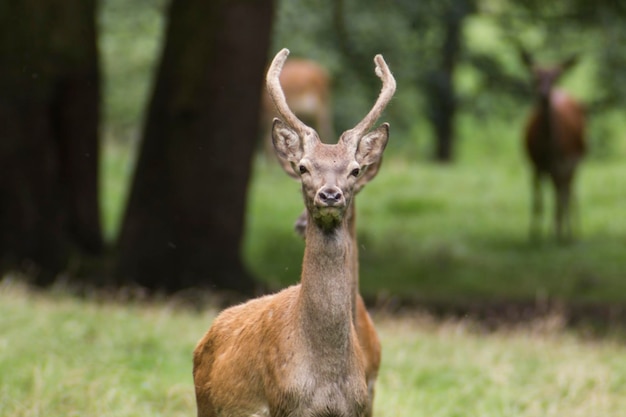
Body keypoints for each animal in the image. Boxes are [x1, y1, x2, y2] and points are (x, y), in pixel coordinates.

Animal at [191, 49, 394, 416]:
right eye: (303, 167)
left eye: (355, 170)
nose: (330, 195)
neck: (326, 379)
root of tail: (207, 334)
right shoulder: (283, 403)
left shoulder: (361, 402)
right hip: (206, 404)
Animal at [516, 50, 584, 242]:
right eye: (534, 76)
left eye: (556, 77)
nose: (544, 94)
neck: (549, 149)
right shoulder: (535, 164)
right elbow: (537, 201)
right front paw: (534, 235)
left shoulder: (564, 162)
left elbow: (562, 197)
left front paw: (565, 235)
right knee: (559, 192)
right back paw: (555, 229)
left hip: (574, 162)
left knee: (568, 192)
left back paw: (571, 230)